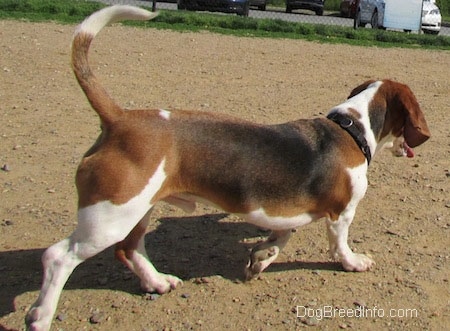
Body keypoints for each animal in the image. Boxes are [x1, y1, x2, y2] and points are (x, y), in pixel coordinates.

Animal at [25, 5, 428, 331]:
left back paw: (157, 282)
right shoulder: (342, 212)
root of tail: (119, 119)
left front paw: (262, 258)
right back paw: (41, 315)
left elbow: (281, 236)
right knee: (58, 257)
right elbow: (339, 243)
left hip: (136, 208)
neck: (351, 127)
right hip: (109, 216)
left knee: (129, 249)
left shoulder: (287, 212)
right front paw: (353, 262)